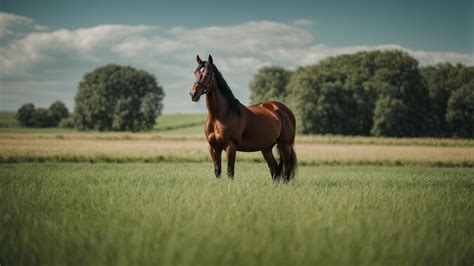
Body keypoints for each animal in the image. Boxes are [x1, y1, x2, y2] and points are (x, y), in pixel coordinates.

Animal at [189, 54, 296, 182]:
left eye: (208, 73)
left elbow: (230, 172)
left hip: (285, 145)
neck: (219, 115)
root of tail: (285, 110)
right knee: (274, 169)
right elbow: (217, 171)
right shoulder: (213, 147)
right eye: (195, 72)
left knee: (286, 170)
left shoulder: (231, 147)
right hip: (266, 148)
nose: (193, 94)